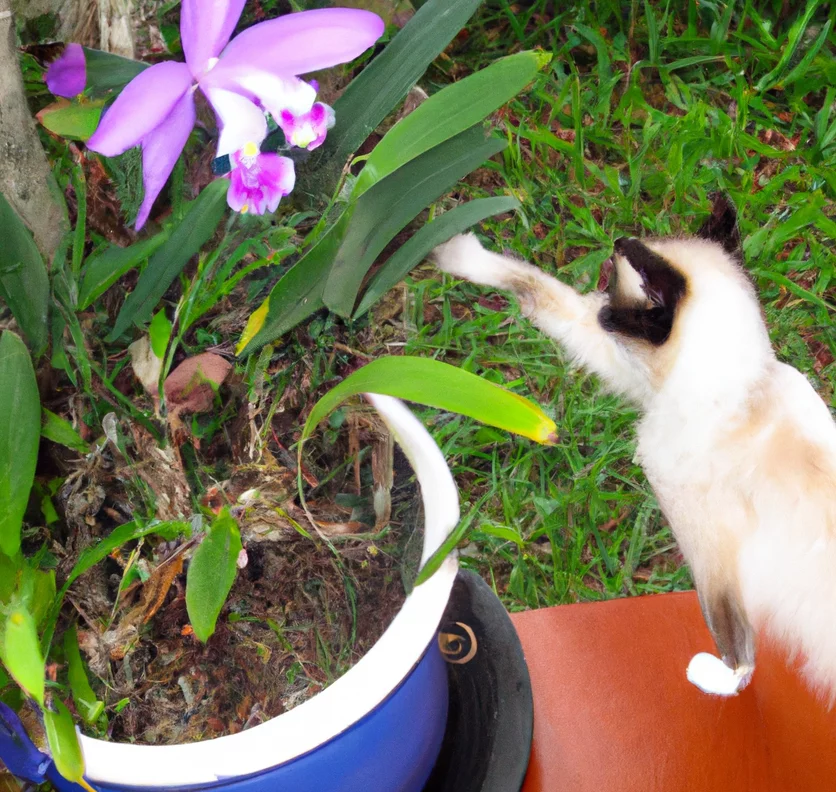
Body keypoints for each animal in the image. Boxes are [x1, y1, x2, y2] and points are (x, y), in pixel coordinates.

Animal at [432, 198, 836, 700]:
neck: (743, 388)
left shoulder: (711, 557)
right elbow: (537, 285)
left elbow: (737, 653)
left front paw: (713, 675)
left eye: (615, 284)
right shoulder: (632, 373)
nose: (616, 242)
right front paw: (452, 251)